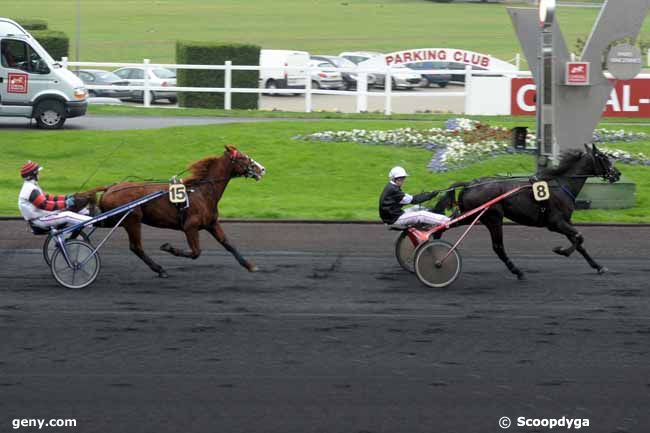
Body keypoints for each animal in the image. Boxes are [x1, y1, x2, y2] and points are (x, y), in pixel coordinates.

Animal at [78, 145, 264, 278]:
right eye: (243, 157)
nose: (262, 169)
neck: (202, 192)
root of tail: (111, 187)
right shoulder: (190, 226)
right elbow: (196, 252)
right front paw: (168, 248)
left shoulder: (211, 224)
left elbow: (228, 244)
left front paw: (250, 265)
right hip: (132, 219)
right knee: (136, 247)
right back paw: (159, 269)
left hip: (115, 218)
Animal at [432, 144, 620, 280]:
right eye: (603, 157)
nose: (617, 173)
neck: (561, 185)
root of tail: (470, 184)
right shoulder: (556, 223)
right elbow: (579, 237)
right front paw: (561, 250)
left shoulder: (566, 221)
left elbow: (579, 243)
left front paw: (598, 266)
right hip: (492, 218)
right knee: (498, 247)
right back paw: (517, 271)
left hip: (470, 215)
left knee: (444, 224)